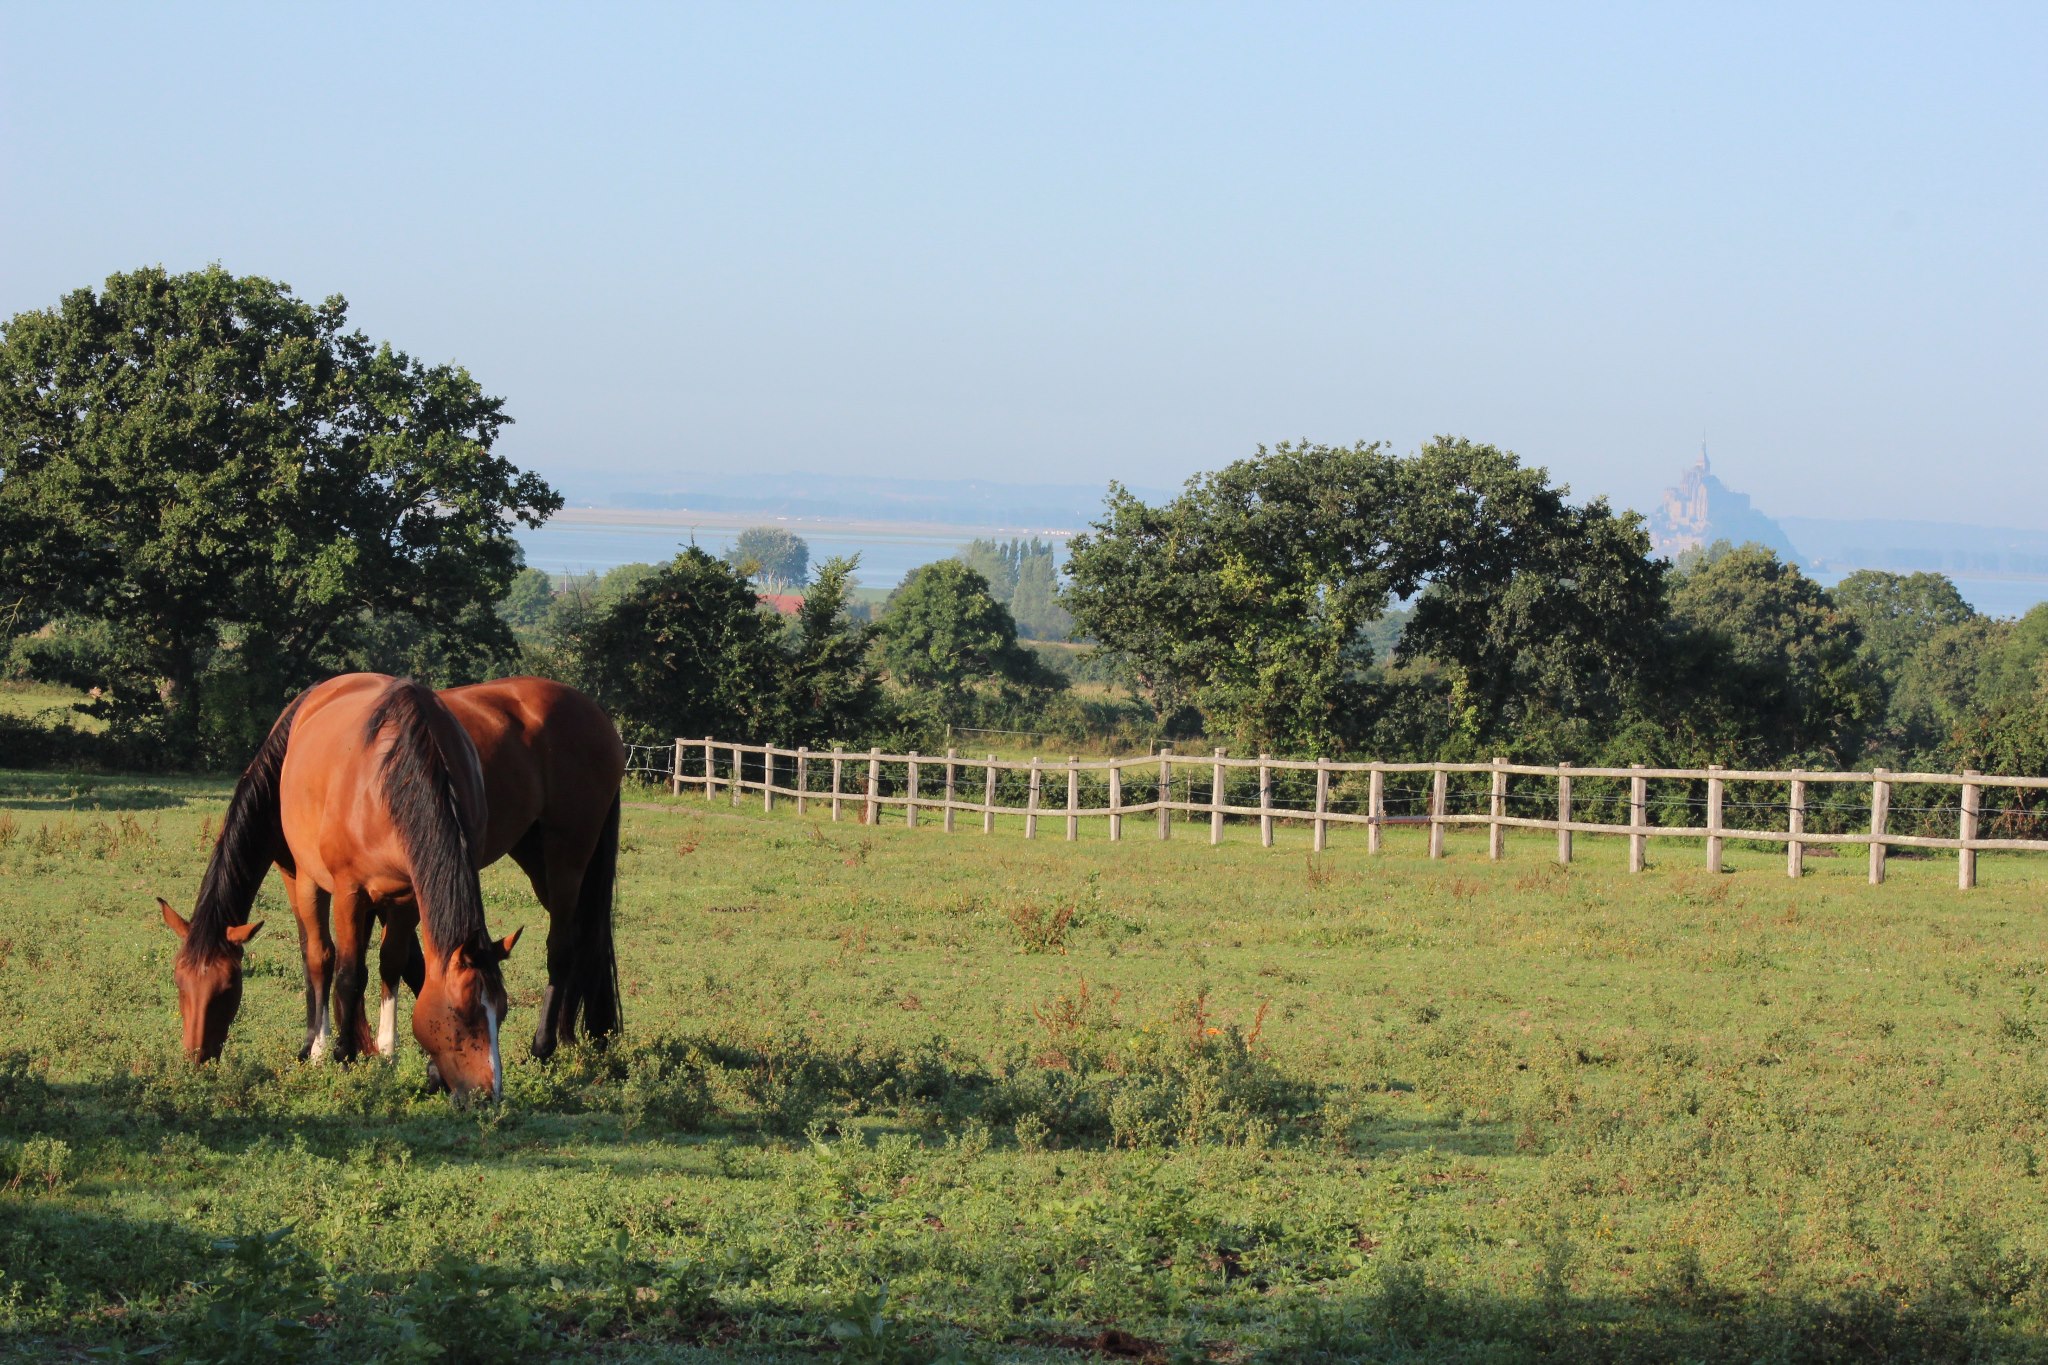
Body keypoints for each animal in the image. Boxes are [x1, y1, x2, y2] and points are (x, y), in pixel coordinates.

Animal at [160, 675, 625, 1075]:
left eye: (227, 990)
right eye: (179, 985)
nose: (196, 1058)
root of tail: (598, 717)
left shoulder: (325, 883)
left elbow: (342, 964)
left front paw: (339, 1050)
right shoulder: (361, 889)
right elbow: (362, 961)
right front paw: (350, 1046)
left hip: (567, 853)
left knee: (562, 946)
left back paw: (544, 1046)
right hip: (535, 855)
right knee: (583, 937)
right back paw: (577, 1037)